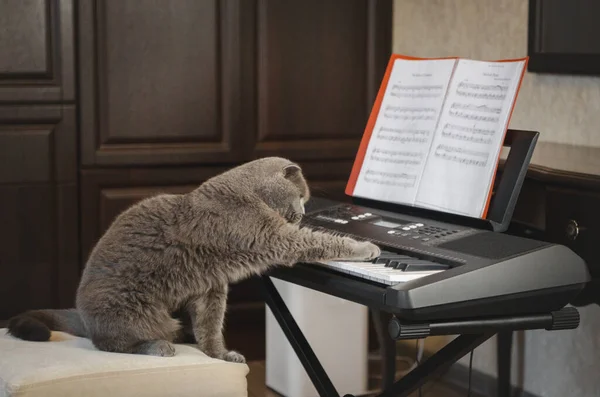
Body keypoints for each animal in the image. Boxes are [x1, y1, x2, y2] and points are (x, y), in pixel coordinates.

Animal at [8, 156, 380, 360]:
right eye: (302, 196)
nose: (302, 213)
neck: (246, 193)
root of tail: (83, 318)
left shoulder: (211, 288)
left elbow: (210, 326)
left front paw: (222, 355)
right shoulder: (273, 237)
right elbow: (320, 241)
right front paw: (368, 249)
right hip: (140, 315)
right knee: (112, 344)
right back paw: (159, 347)